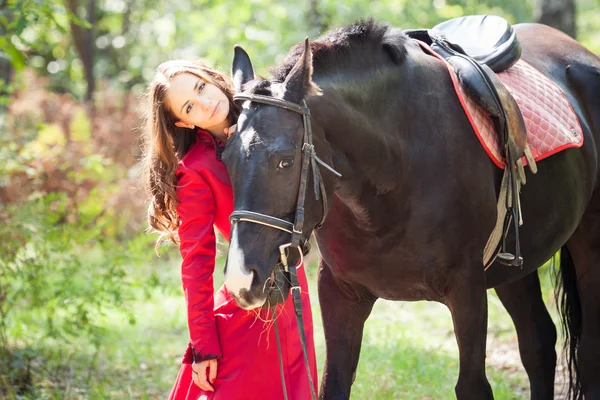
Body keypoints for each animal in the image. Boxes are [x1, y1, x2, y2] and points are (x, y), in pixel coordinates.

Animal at [221, 20, 600, 398]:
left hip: (585, 244)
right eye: (225, 158)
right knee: (538, 343)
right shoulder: (339, 291)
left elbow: (472, 386)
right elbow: (334, 383)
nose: (241, 279)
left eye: (285, 161)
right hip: (514, 266)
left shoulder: (467, 288)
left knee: (586, 350)